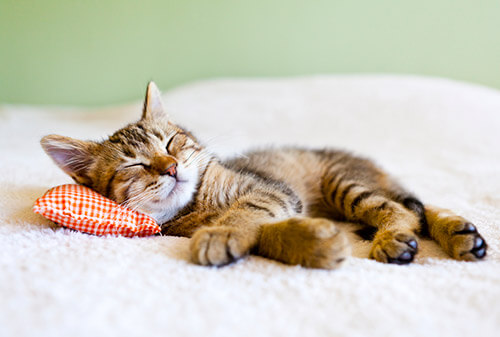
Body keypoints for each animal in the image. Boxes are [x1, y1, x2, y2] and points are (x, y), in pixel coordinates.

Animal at [40, 81, 488, 268]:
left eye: (171, 143)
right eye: (133, 164)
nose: (170, 168)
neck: (198, 204)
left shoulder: (270, 189)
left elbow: (247, 212)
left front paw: (222, 233)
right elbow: (266, 233)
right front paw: (311, 244)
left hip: (344, 184)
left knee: (407, 209)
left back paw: (399, 237)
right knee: (415, 207)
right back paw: (461, 235)